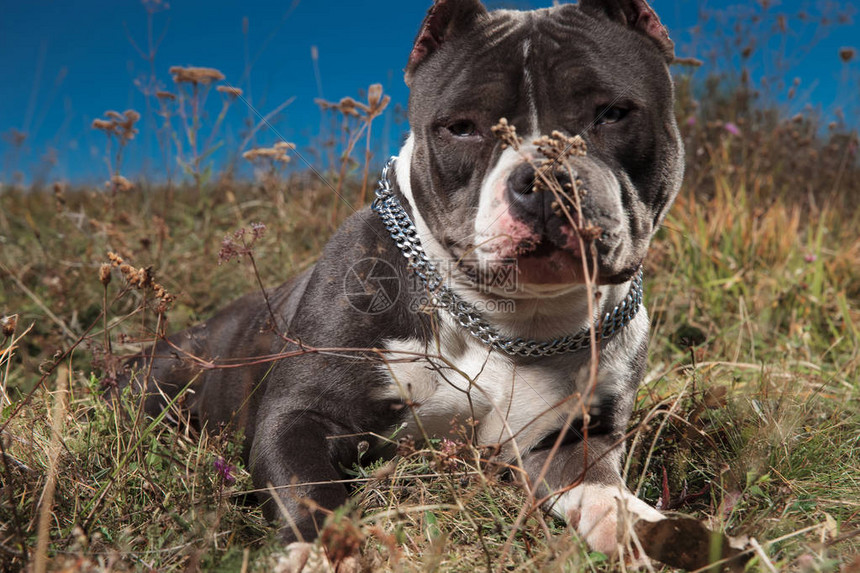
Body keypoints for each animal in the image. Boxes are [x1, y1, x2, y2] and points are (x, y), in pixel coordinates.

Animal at [121, 0, 684, 564]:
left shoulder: (571, 438)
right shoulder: (297, 416)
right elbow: (310, 490)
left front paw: (650, 532)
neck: (507, 319)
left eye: (612, 114)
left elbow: (602, 491)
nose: (545, 177)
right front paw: (322, 555)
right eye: (461, 128)